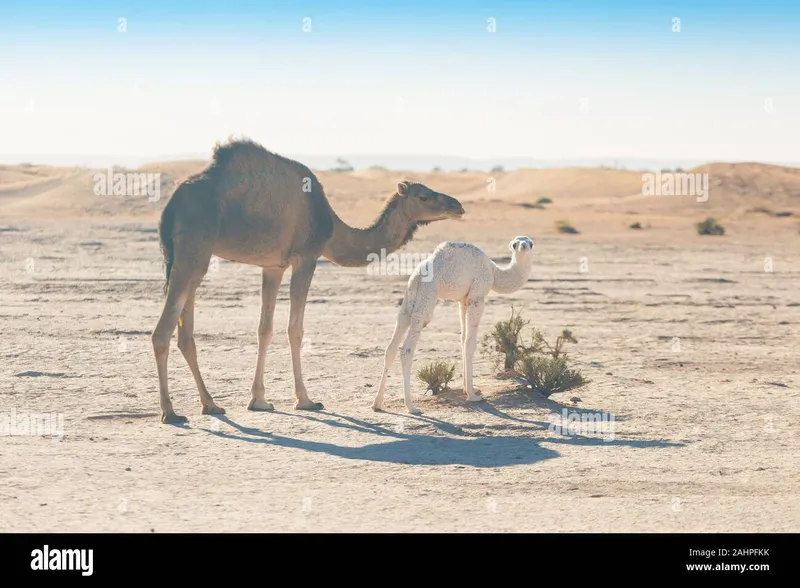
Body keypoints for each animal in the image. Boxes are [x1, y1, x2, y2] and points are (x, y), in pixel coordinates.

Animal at [152, 139, 466, 422]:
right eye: (423, 195)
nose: (457, 205)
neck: (332, 227)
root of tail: (170, 206)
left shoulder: (273, 266)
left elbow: (264, 329)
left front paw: (259, 400)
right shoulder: (306, 257)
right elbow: (295, 330)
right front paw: (306, 400)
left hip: (192, 257)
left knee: (185, 334)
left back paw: (211, 405)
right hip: (193, 251)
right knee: (162, 332)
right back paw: (170, 412)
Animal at [372, 234, 536, 414]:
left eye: (530, 243)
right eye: (514, 244)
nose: (523, 246)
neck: (494, 272)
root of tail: (417, 275)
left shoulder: (463, 300)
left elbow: (463, 339)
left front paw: (468, 388)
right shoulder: (477, 297)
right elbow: (470, 343)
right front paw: (472, 395)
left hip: (409, 298)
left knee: (392, 346)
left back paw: (377, 403)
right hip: (427, 297)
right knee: (407, 350)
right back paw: (411, 406)